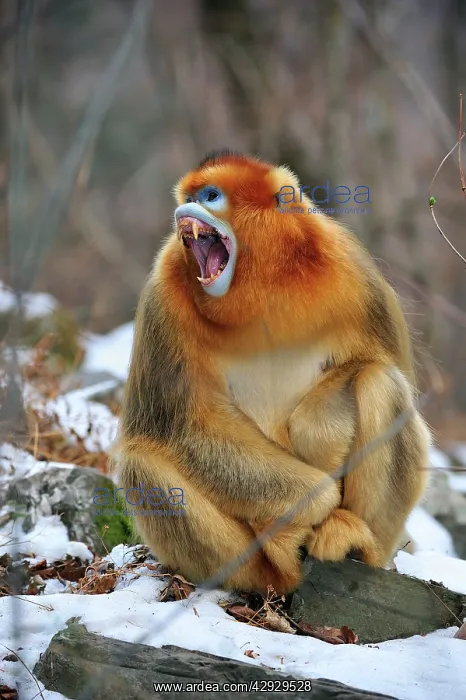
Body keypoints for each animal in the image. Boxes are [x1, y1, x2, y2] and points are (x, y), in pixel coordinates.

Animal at [113, 149, 431, 596]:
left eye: (210, 196)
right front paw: (319, 497)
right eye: (188, 196)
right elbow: (183, 427)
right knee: (141, 462)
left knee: (381, 382)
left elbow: (386, 370)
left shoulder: (353, 271)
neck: (264, 283)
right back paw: (279, 555)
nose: (183, 211)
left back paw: (353, 544)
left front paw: (318, 430)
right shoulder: (164, 290)